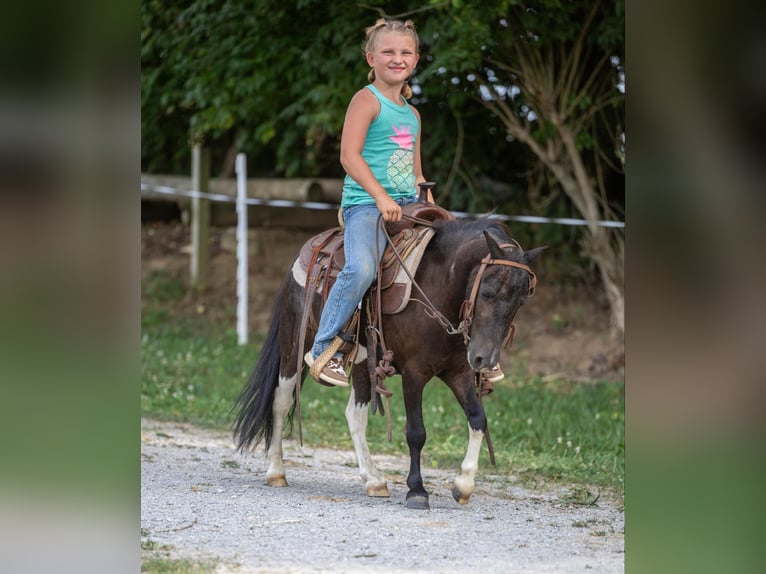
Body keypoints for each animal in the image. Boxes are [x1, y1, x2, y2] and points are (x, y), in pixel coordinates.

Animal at [231, 217, 544, 512]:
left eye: (520, 301)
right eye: (488, 292)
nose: (484, 359)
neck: (440, 287)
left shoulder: (458, 373)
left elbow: (478, 419)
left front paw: (464, 485)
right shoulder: (415, 374)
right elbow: (416, 432)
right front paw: (417, 491)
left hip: (361, 363)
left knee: (354, 415)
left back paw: (374, 480)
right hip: (293, 348)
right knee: (281, 402)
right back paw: (276, 471)